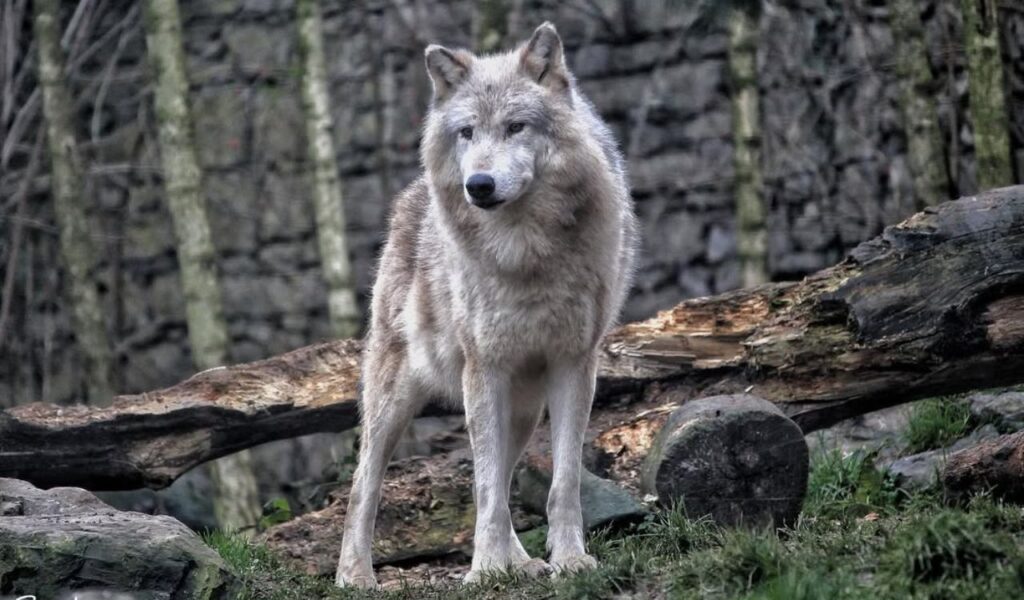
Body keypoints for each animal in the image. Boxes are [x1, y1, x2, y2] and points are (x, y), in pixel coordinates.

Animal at [334, 22, 637, 588]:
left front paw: (568, 561)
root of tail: (409, 196)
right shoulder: (485, 367)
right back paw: (355, 577)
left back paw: (523, 562)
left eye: (516, 127)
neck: (525, 251)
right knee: (364, 484)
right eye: (467, 132)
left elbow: (562, 482)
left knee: (503, 470)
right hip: (395, 397)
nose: (479, 185)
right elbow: (487, 490)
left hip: (523, 406)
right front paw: (485, 571)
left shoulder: (574, 363)